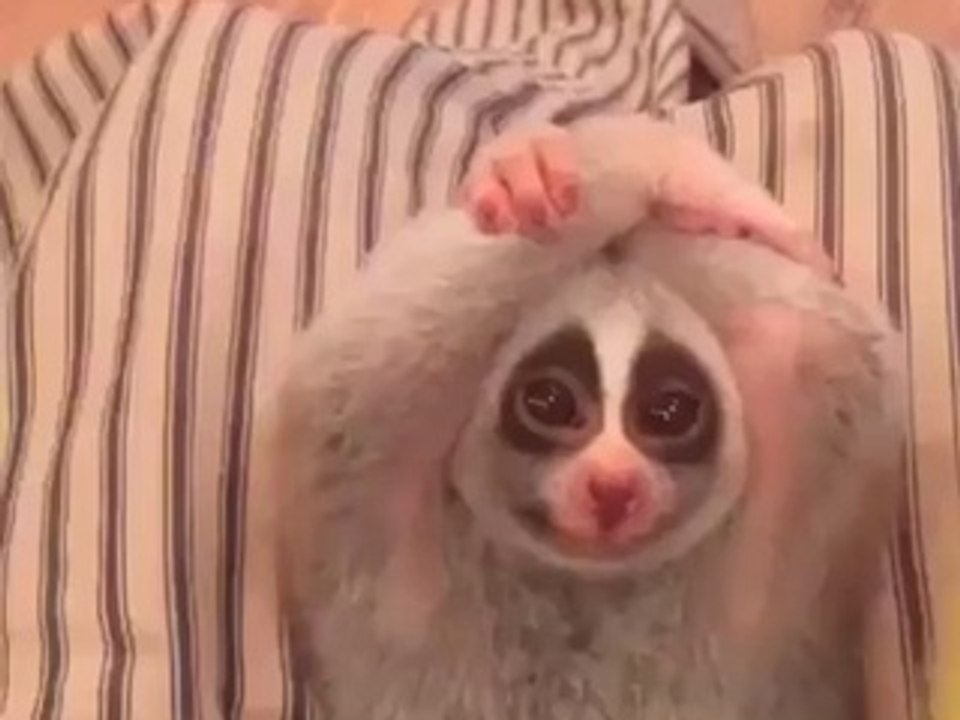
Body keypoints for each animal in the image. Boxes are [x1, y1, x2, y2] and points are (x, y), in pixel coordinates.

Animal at [262, 115, 905, 720]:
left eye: (668, 412)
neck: (584, 584)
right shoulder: (386, 540)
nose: (612, 485)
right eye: (549, 402)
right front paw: (547, 168)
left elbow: (811, 340)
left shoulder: (764, 594)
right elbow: (359, 361)